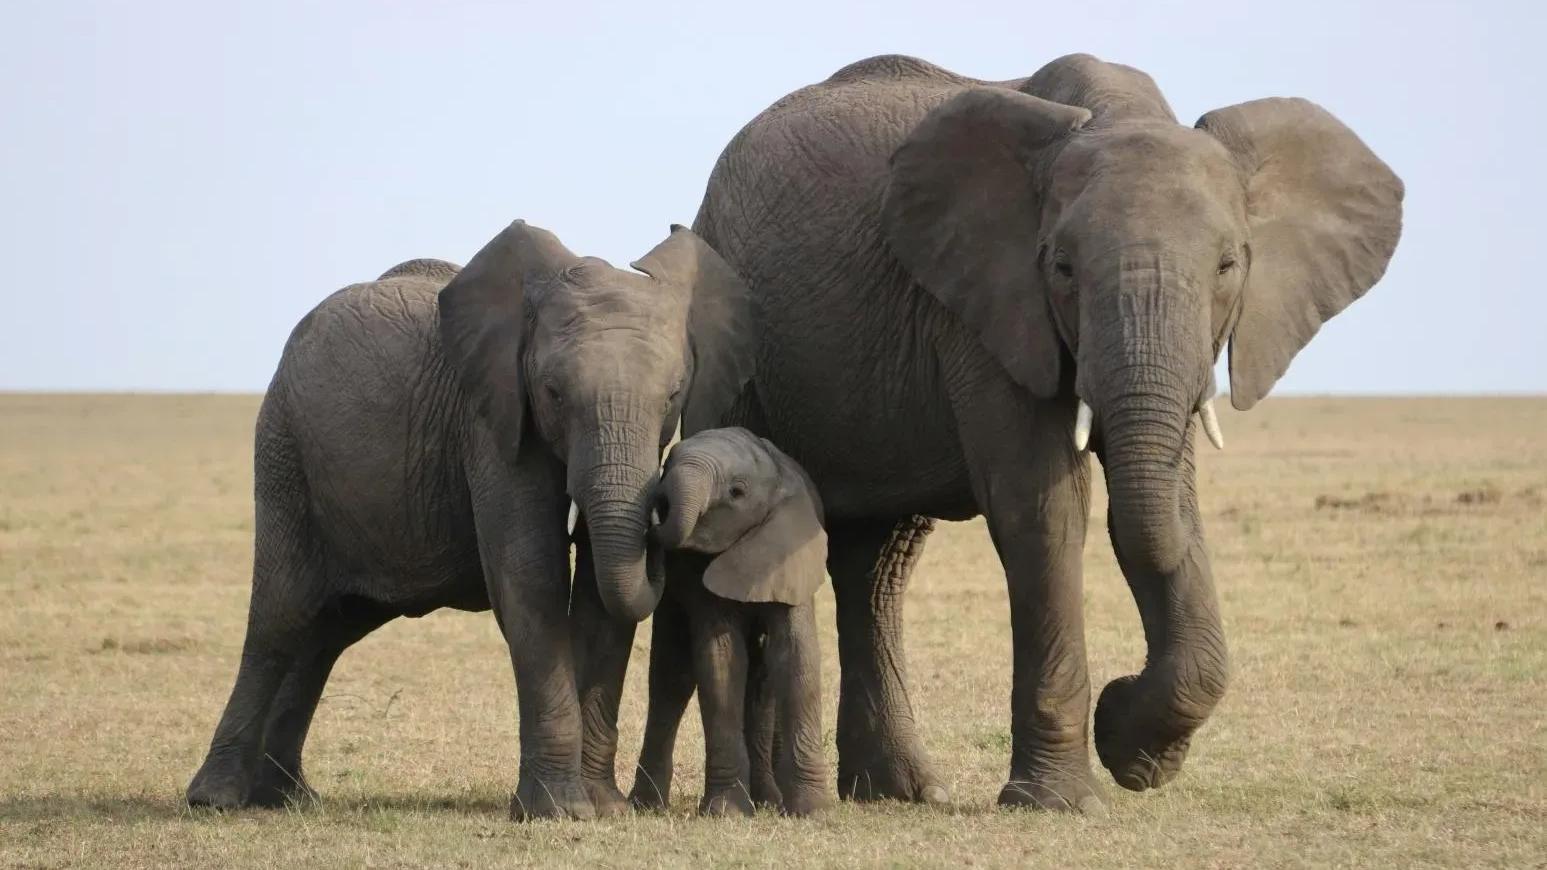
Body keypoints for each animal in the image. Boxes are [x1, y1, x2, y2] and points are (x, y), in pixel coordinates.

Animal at [184, 220, 753, 819]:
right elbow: (531, 575)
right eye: (553, 394)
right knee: (282, 616)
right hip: (284, 450)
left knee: (326, 631)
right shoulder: (491, 423)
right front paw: (560, 812)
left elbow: (600, 596)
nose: (664, 514)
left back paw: (286, 797)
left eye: (673, 396)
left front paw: (606, 809)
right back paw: (217, 799)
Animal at [625, 427, 833, 817]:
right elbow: (721, 662)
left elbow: (796, 657)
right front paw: (726, 813)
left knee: (762, 681)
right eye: (667, 464)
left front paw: (812, 811)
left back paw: (768, 800)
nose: (657, 505)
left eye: (737, 491)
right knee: (671, 678)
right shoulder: (697, 573)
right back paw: (646, 806)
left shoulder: (789, 555)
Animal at [670, 53, 1404, 813]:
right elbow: (1045, 507)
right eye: (1062, 267)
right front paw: (1064, 796)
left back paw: (901, 791)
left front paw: (1137, 755)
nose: (1119, 697)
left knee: (877, 564)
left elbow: (1170, 502)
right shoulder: (983, 308)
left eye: (1229, 265)